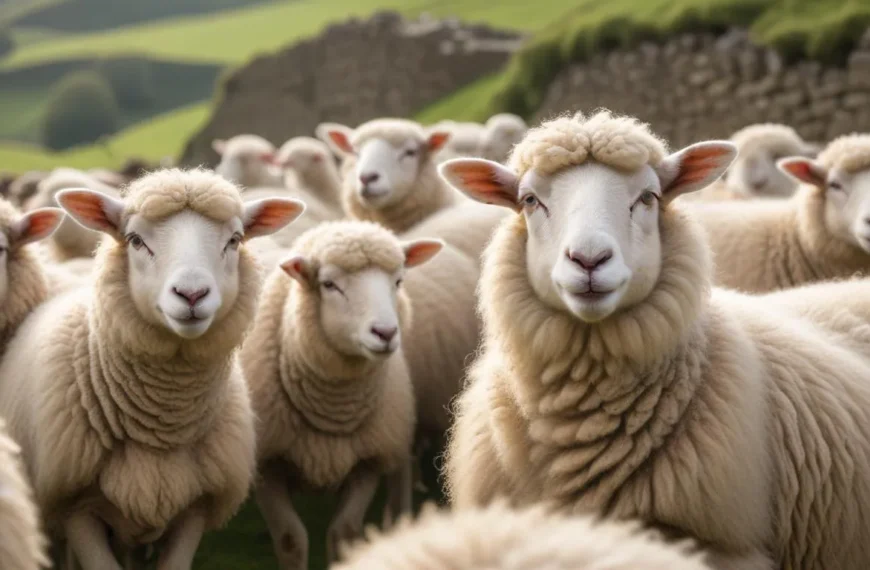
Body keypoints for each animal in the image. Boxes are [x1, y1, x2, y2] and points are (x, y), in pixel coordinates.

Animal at [241, 221, 444, 569]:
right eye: (329, 284)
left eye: (398, 281)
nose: (385, 333)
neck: (333, 408)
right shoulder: (267, 463)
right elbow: (291, 539)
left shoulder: (367, 461)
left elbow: (344, 533)